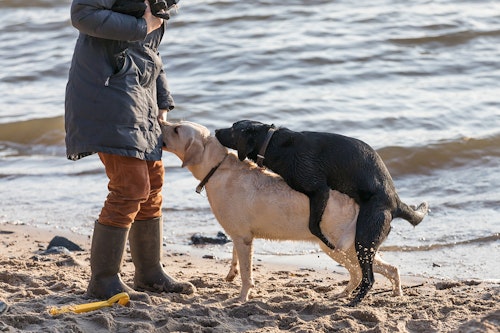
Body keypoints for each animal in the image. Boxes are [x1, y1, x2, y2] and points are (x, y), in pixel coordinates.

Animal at [215, 120, 430, 304]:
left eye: (233, 129)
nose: (216, 130)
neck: (274, 142)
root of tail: (395, 202)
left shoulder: (319, 189)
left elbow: (313, 225)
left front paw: (323, 237)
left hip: (364, 237)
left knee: (368, 278)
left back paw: (354, 301)